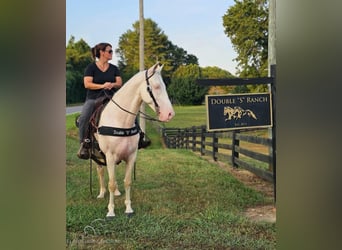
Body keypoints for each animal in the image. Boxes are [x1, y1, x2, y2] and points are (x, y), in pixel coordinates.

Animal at [94, 63, 175, 218]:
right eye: (156, 86)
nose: (169, 114)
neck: (120, 120)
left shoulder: (131, 156)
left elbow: (127, 182)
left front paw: (128, 209)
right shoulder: (110, 156)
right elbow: (111, 183)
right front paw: (111, 211)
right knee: (100, 171)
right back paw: (101, 193)